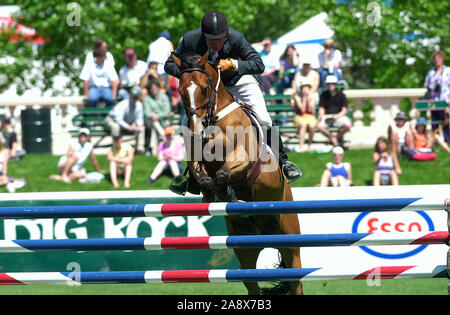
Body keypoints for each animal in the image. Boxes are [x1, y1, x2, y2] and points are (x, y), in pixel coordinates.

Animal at [171, 51, 304, 296]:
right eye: (180, 91)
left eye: (204, 88)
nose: (197, 131)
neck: (214, 120)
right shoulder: (197, 160)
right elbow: (205, 180)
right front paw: (212, 196)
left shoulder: (244, 158)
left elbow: (224, 175)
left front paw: (228, 194)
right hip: (244, 251)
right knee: (252, 283)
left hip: (291, 245)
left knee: (295, 280)